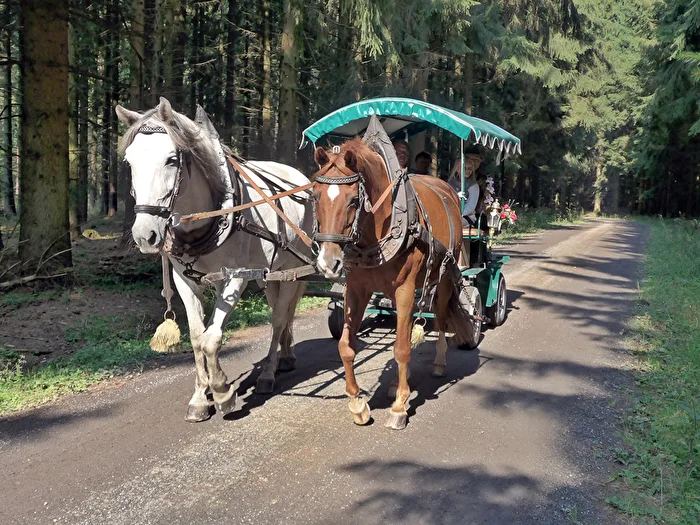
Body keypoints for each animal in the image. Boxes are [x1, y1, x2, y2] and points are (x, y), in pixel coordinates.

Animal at [116, 97, 313, 422]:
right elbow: (197, 338)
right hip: (271, 273)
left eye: (171, 160)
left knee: (278, 317)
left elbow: (212, 338)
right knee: (281, 314)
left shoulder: (235, 277)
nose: (145, 235)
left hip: (295, 267)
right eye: (130, 162)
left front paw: (221, 391)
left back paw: (268, 374)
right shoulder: (185, 280)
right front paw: (199, 397)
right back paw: (285, 355)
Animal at [311, 137, 466, 430]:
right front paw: (357, 403)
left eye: (353, 200)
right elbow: (346, 346)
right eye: (315, 196)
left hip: (443, 274)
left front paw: (399, 408)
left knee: (439, 316)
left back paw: (438, 364)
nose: (328, 262)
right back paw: (395, 383)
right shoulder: (357, 289)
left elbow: (402, 348)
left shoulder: (405, 288)